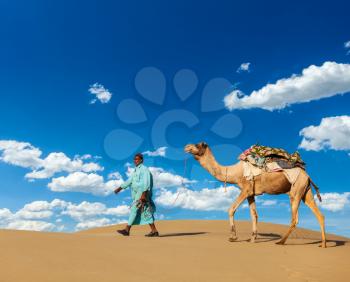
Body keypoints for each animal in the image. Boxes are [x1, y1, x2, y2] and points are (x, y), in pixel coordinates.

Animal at [185, 142, 326, 248]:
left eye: (197, 145)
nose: (186, 146)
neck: (233, 172)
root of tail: (308, 176)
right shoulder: (251, 193)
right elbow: (254, 215)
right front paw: (252, 239)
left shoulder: (246, 189)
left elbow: (231, 209)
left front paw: (233, 237)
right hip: (305, 192)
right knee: (320, 215)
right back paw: (323, 244)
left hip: (296, 190)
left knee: (295, 218)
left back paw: (280, 242)